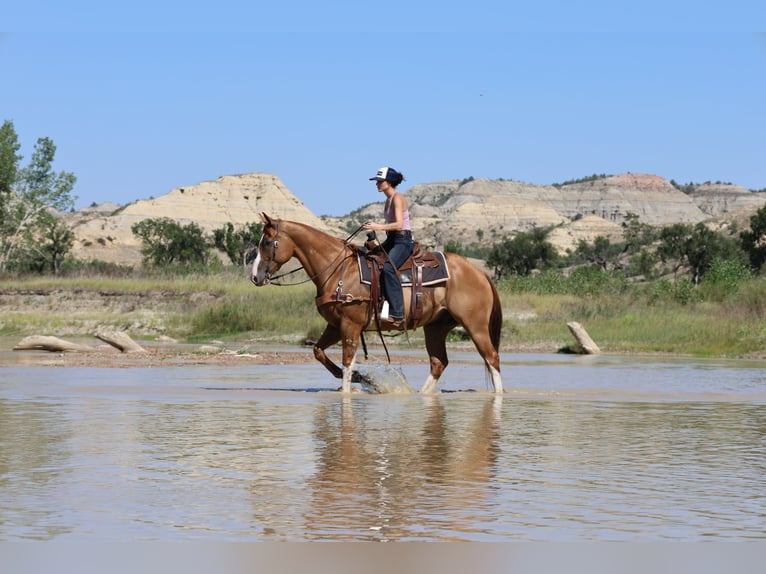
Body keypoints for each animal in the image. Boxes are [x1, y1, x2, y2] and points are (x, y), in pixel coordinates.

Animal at [250, 213, 503, 394]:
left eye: (268, 243)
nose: (255, 276)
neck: (338, 270)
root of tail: (479, 272)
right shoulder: (335, 325)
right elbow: (318, 352)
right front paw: (361, 378)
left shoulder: (350, 325)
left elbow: (347, 362)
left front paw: (350, 388)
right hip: (436, 327)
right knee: (438, 362)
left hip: (475, 325)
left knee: (491, 358)